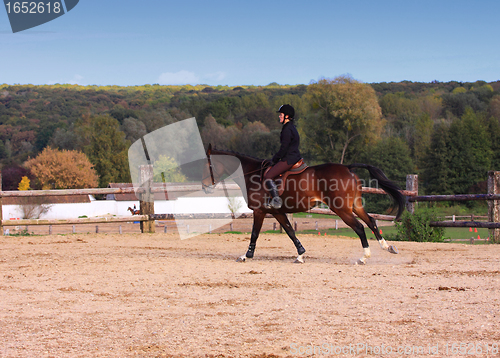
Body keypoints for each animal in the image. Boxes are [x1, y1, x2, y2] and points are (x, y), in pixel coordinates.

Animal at [201, 144, 404, 264]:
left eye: (208, 165)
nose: (204, 186)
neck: (253, 174)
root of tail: (347, 168)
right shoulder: (277, 212)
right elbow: (290, 231)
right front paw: (300, 254)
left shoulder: (259, 211)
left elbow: (254, 234)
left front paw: (246, 255)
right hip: (355, 205)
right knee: (371, 221)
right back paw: (387, 247)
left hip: (341, 208)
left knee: (360, 227)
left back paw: (364, 257)